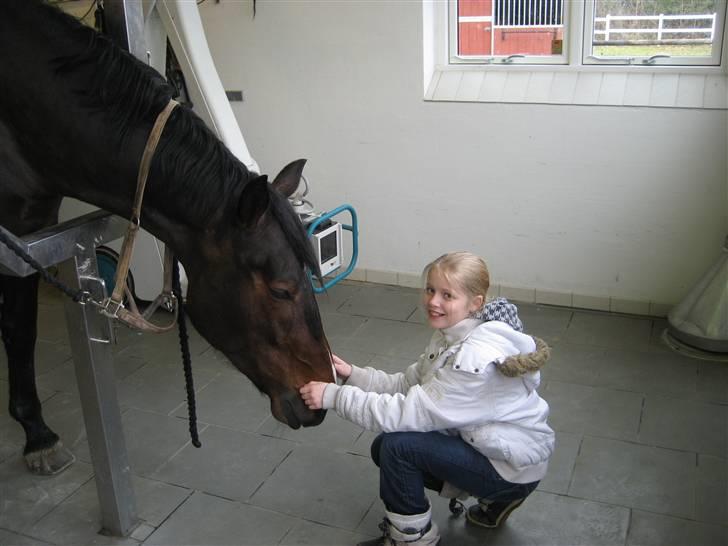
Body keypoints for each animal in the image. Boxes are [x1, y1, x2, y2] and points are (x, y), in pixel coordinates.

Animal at [0, 0, 332, 472]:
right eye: (281, 290)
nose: (319, 398)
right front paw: (36, 434)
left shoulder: (32, 225)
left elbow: (20, 326)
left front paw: (36, 433)